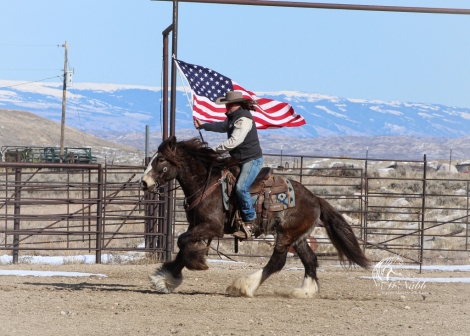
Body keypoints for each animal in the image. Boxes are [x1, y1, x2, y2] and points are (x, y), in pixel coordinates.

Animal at [140, 135, 370, 298]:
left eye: (161, 159)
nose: (144, 182)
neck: (206, 184)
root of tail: (316, 199)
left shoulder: (212, 226)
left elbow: (182, 241)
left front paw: (196, 263)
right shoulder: (196, 226)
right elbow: (183, 245)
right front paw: (166, 280)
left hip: (286, 235)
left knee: (277, 261)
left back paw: (245, 286)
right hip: (298, 237)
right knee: (310, 260)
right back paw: (304, 291)